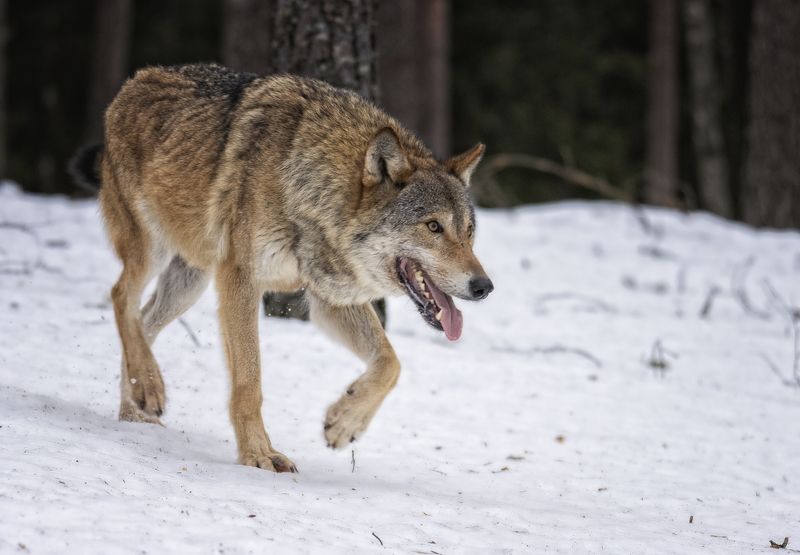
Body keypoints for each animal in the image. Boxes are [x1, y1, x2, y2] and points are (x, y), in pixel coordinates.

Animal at [71, 63, 494, 473]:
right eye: (433, 227)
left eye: (469, 231)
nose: (484, 287)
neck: (309, 187)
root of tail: (133, 83)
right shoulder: (241, 280)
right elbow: (249, 382)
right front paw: (258, 455)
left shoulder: (327, 299)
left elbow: (391, 361)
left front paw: (344, 422)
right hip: (152, 250)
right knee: (121, 298)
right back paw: (148, 389)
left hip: (191, 281)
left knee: (143, 321)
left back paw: (137, 407)